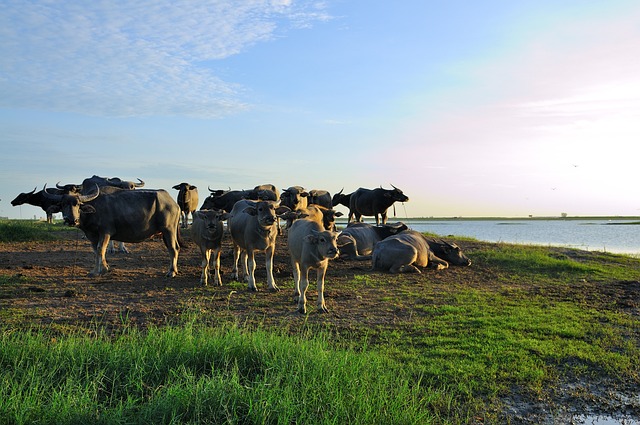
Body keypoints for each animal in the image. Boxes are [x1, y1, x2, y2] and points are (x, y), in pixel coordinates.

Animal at [43, 184, 181, 276]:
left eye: (78, 204)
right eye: (63, 204)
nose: (72, 220)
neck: (94, 210)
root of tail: (173, 203)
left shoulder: (105, 232)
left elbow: (101, 249)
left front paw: (102, 270)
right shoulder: (92, 235)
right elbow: (96, 251)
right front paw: (96, 270)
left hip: (168, 229)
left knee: (173, 248)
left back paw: (171, 272)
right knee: (176, 247)